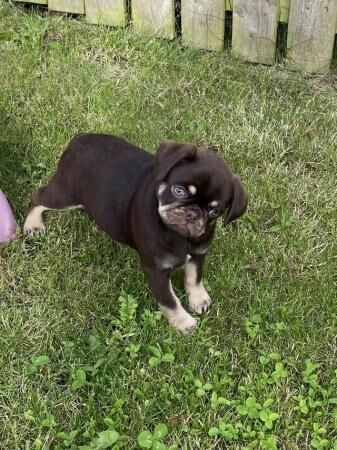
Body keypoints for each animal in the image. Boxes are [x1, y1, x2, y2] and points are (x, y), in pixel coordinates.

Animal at [24, 135, 247, 332]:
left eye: (214, 212)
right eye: (179, 191)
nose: (192, 213)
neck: (179, 236)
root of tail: (78, 140)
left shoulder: (199, 254)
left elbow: (194, 277)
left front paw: (198, 299)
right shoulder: (156, 270)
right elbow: (169, 301)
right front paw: (184, 324)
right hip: (65, 195)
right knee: (38, 197)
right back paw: (32, 225)